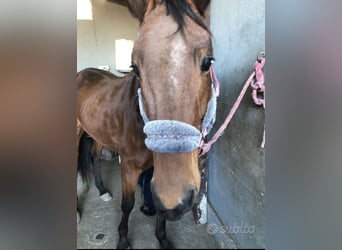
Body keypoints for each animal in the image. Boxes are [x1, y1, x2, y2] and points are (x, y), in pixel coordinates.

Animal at [77, 0, 214, 248]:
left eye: (208, 62)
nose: (176, 199)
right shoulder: (129, 168)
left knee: (94, 155)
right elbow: (127, 205)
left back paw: (102, 190)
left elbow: (159, 209)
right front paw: (123, 239)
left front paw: (162, 238)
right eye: (135, 68)